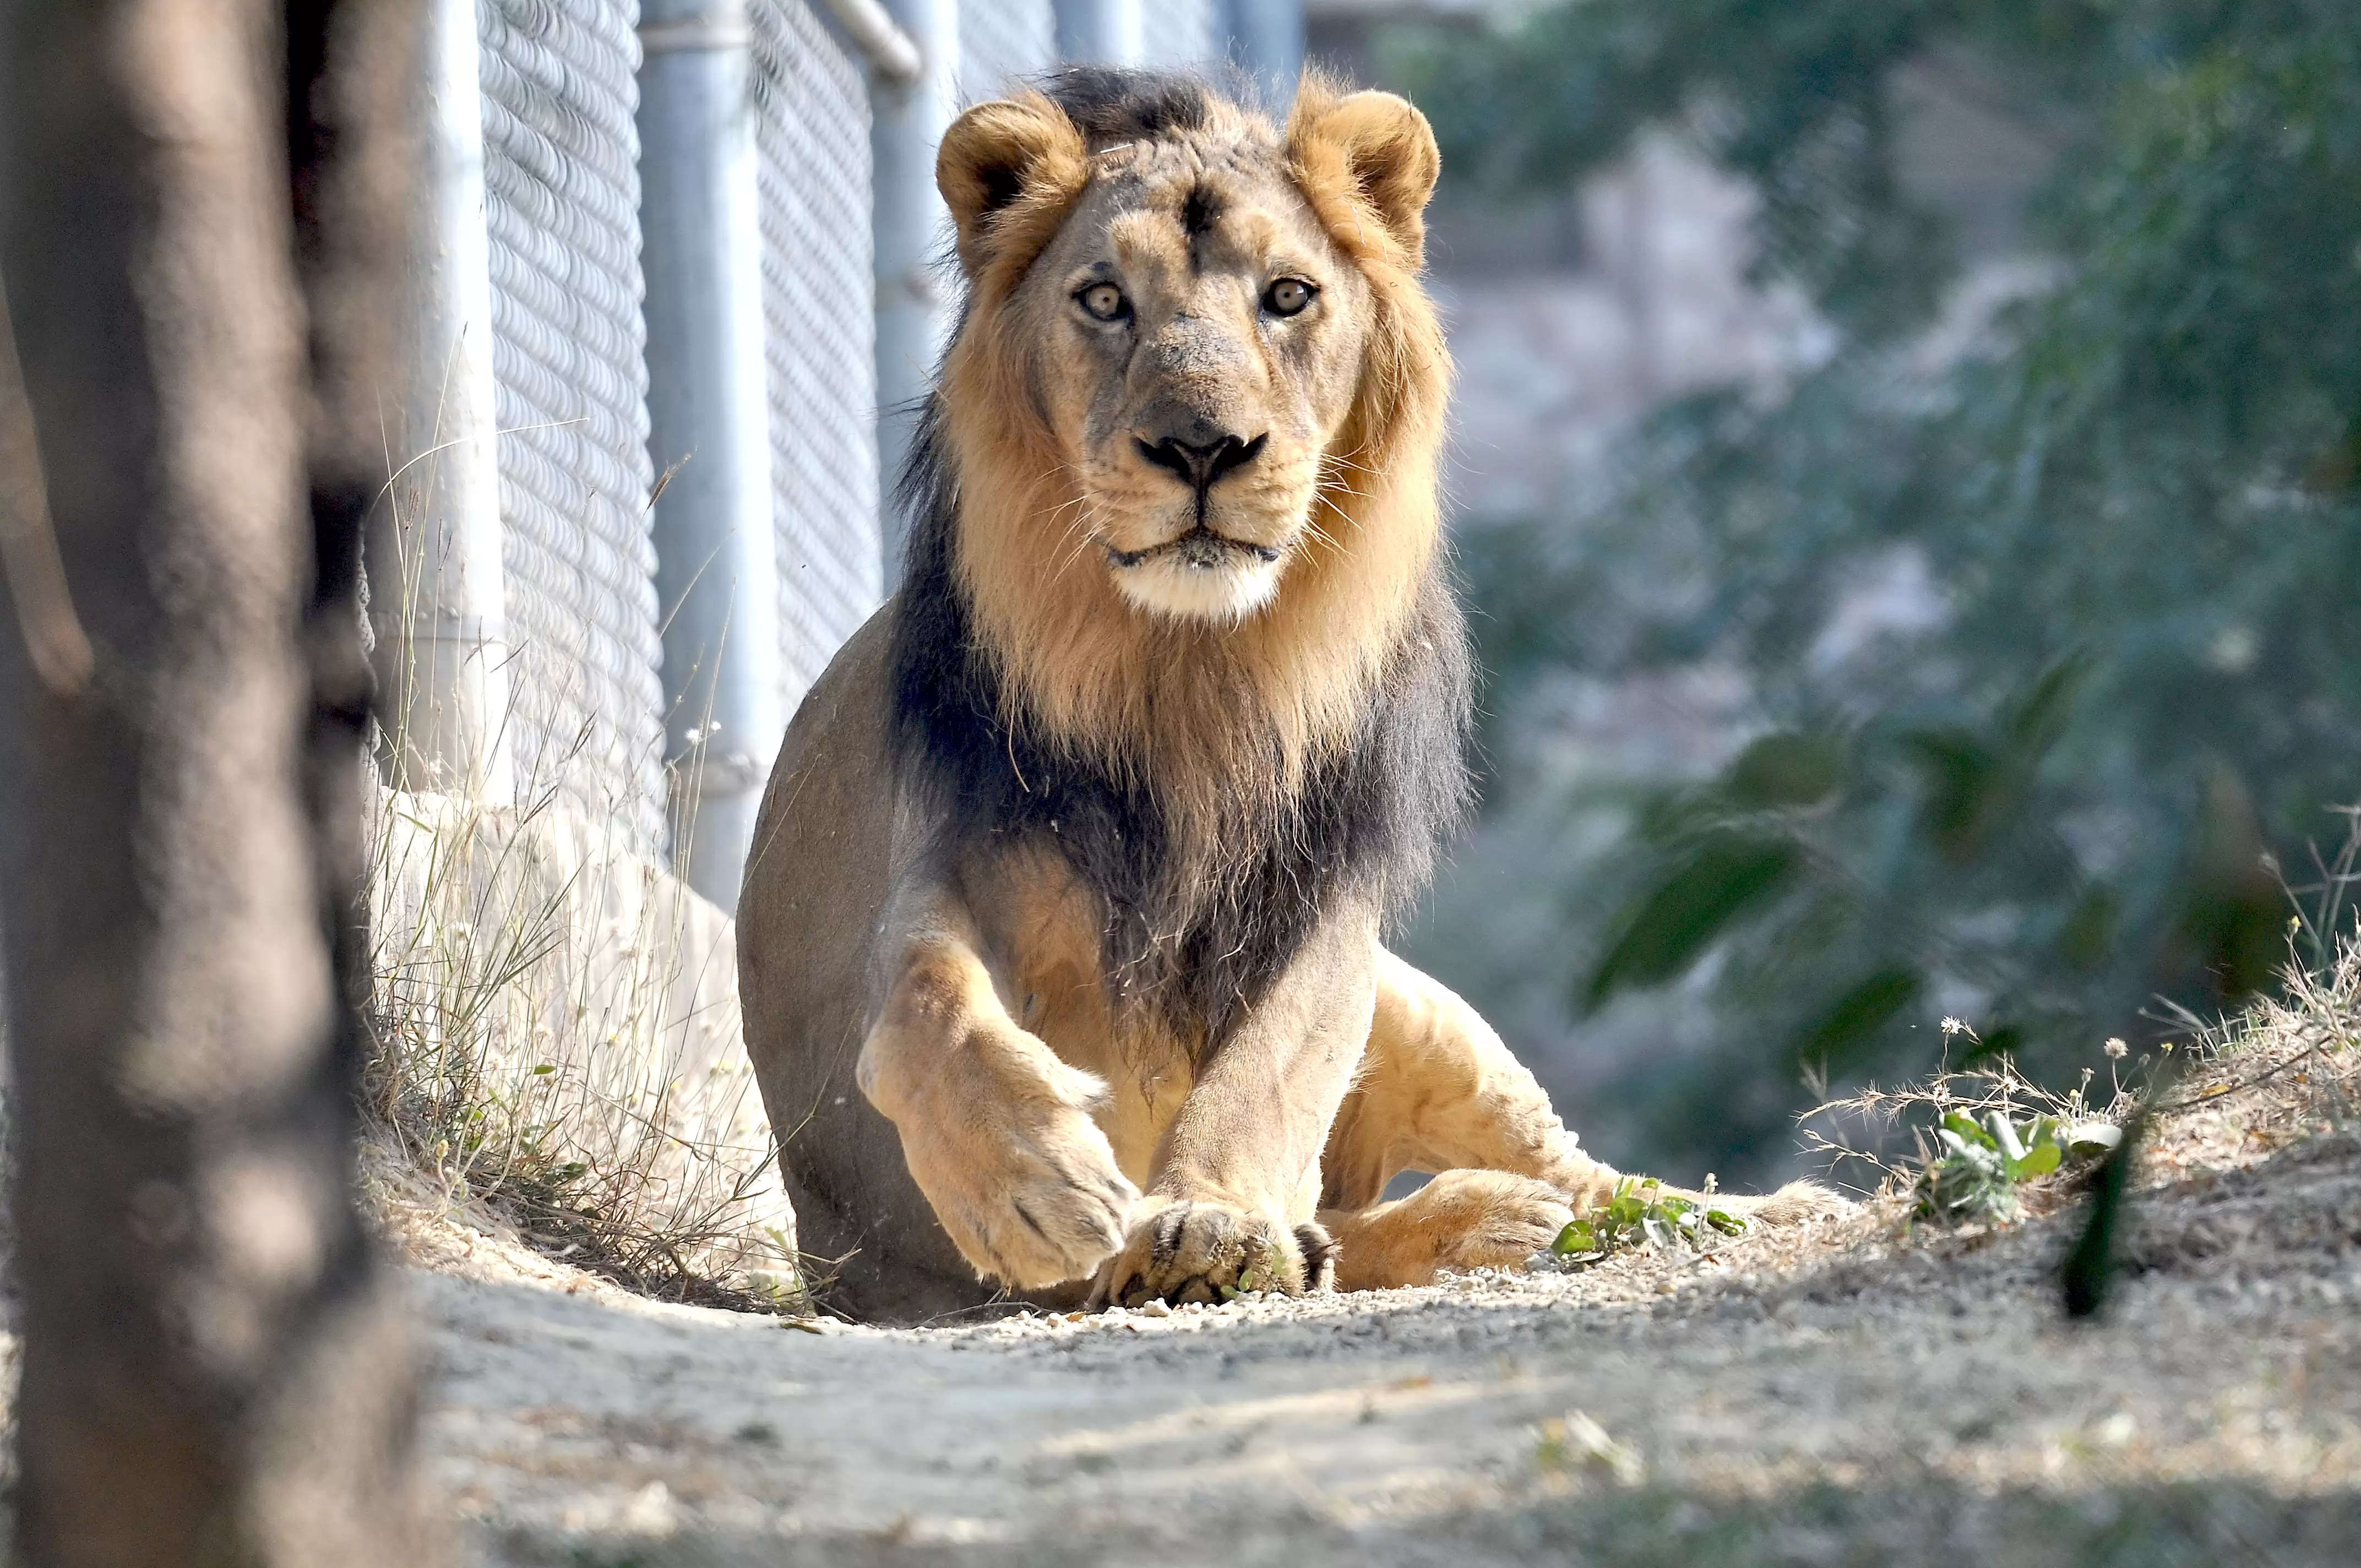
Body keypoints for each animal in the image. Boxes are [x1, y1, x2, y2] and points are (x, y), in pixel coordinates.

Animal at [732, 70, 1823, 1322]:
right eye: (1103, 298)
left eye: (1287, 295)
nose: (1202, 446)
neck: (1188, 667)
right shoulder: (966, 850)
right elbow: (923, 995)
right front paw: (1033, 1182)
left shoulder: (1326, 890)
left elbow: (1274, 1063)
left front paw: (1210, 1216)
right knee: (1364, 1224)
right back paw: (1472, 1222)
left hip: (1428, 1011)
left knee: (1587, 1174)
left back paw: (1723, 1210)